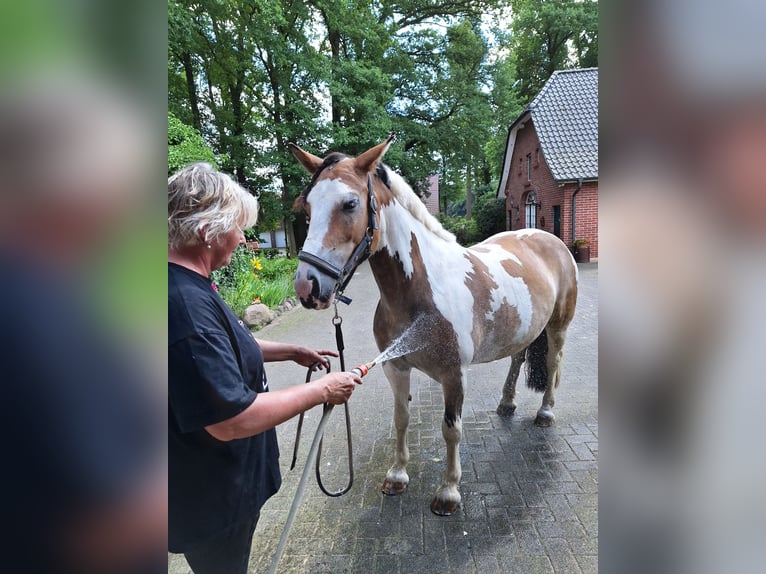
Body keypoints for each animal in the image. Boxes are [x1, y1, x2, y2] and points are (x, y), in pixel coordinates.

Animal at [292, 138, 580, 516]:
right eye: (307, 207)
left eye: (350, 203)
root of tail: (550, 238)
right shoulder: (395, 367)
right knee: (518, 359)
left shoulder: (454, 375)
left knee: (553, 362)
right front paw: (397, 475)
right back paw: (506, 403)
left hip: (558, 328)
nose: (306, 286)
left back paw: (545, 412)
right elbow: (401, 418)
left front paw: (449, 492)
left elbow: (451, 429)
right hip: (523, 330)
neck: (422, 292)